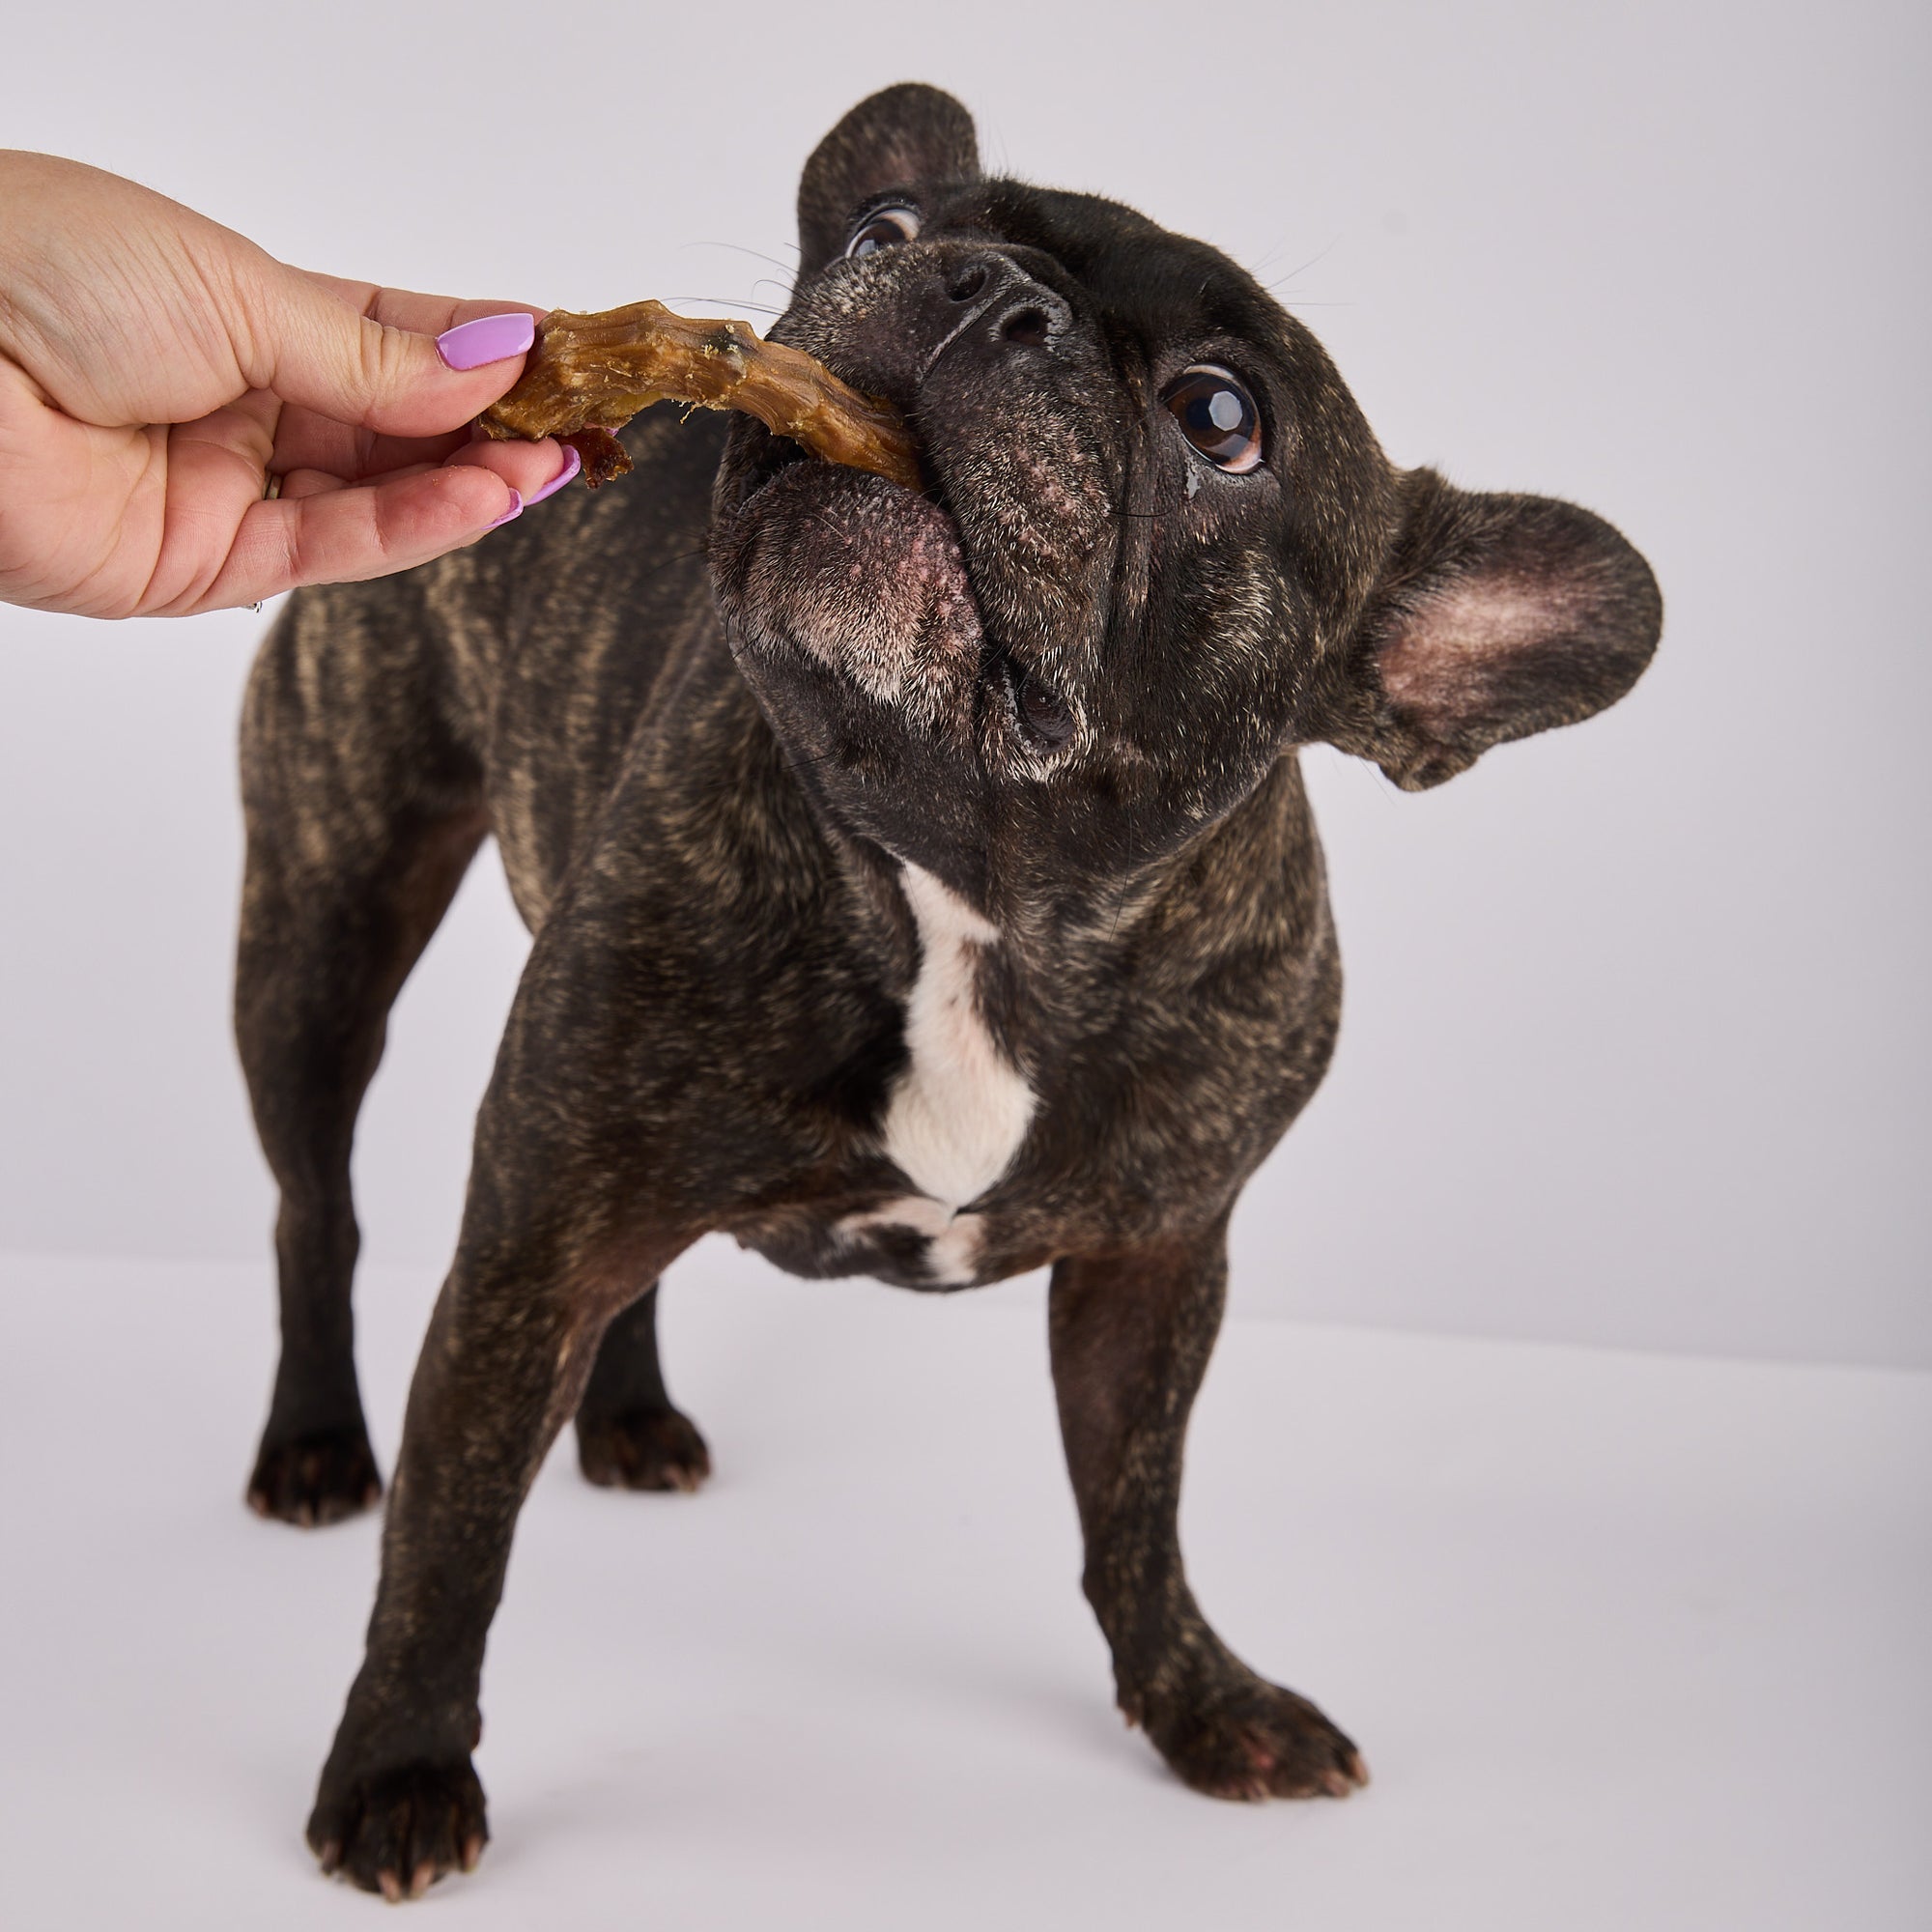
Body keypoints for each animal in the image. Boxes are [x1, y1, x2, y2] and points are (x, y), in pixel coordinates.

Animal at [234, 83, 1662, 1893]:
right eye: (882, 231)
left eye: (1221, 416)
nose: (976, 284)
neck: (981, 893)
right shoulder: (527, 1249)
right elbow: (453, 1526)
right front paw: (401, 1767)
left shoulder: (1155, 1260)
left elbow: (1135, 1506)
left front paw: (1201, 1702)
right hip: (323, 919)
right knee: (316, 1207)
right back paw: (311, 1446)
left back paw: (628, 1423)